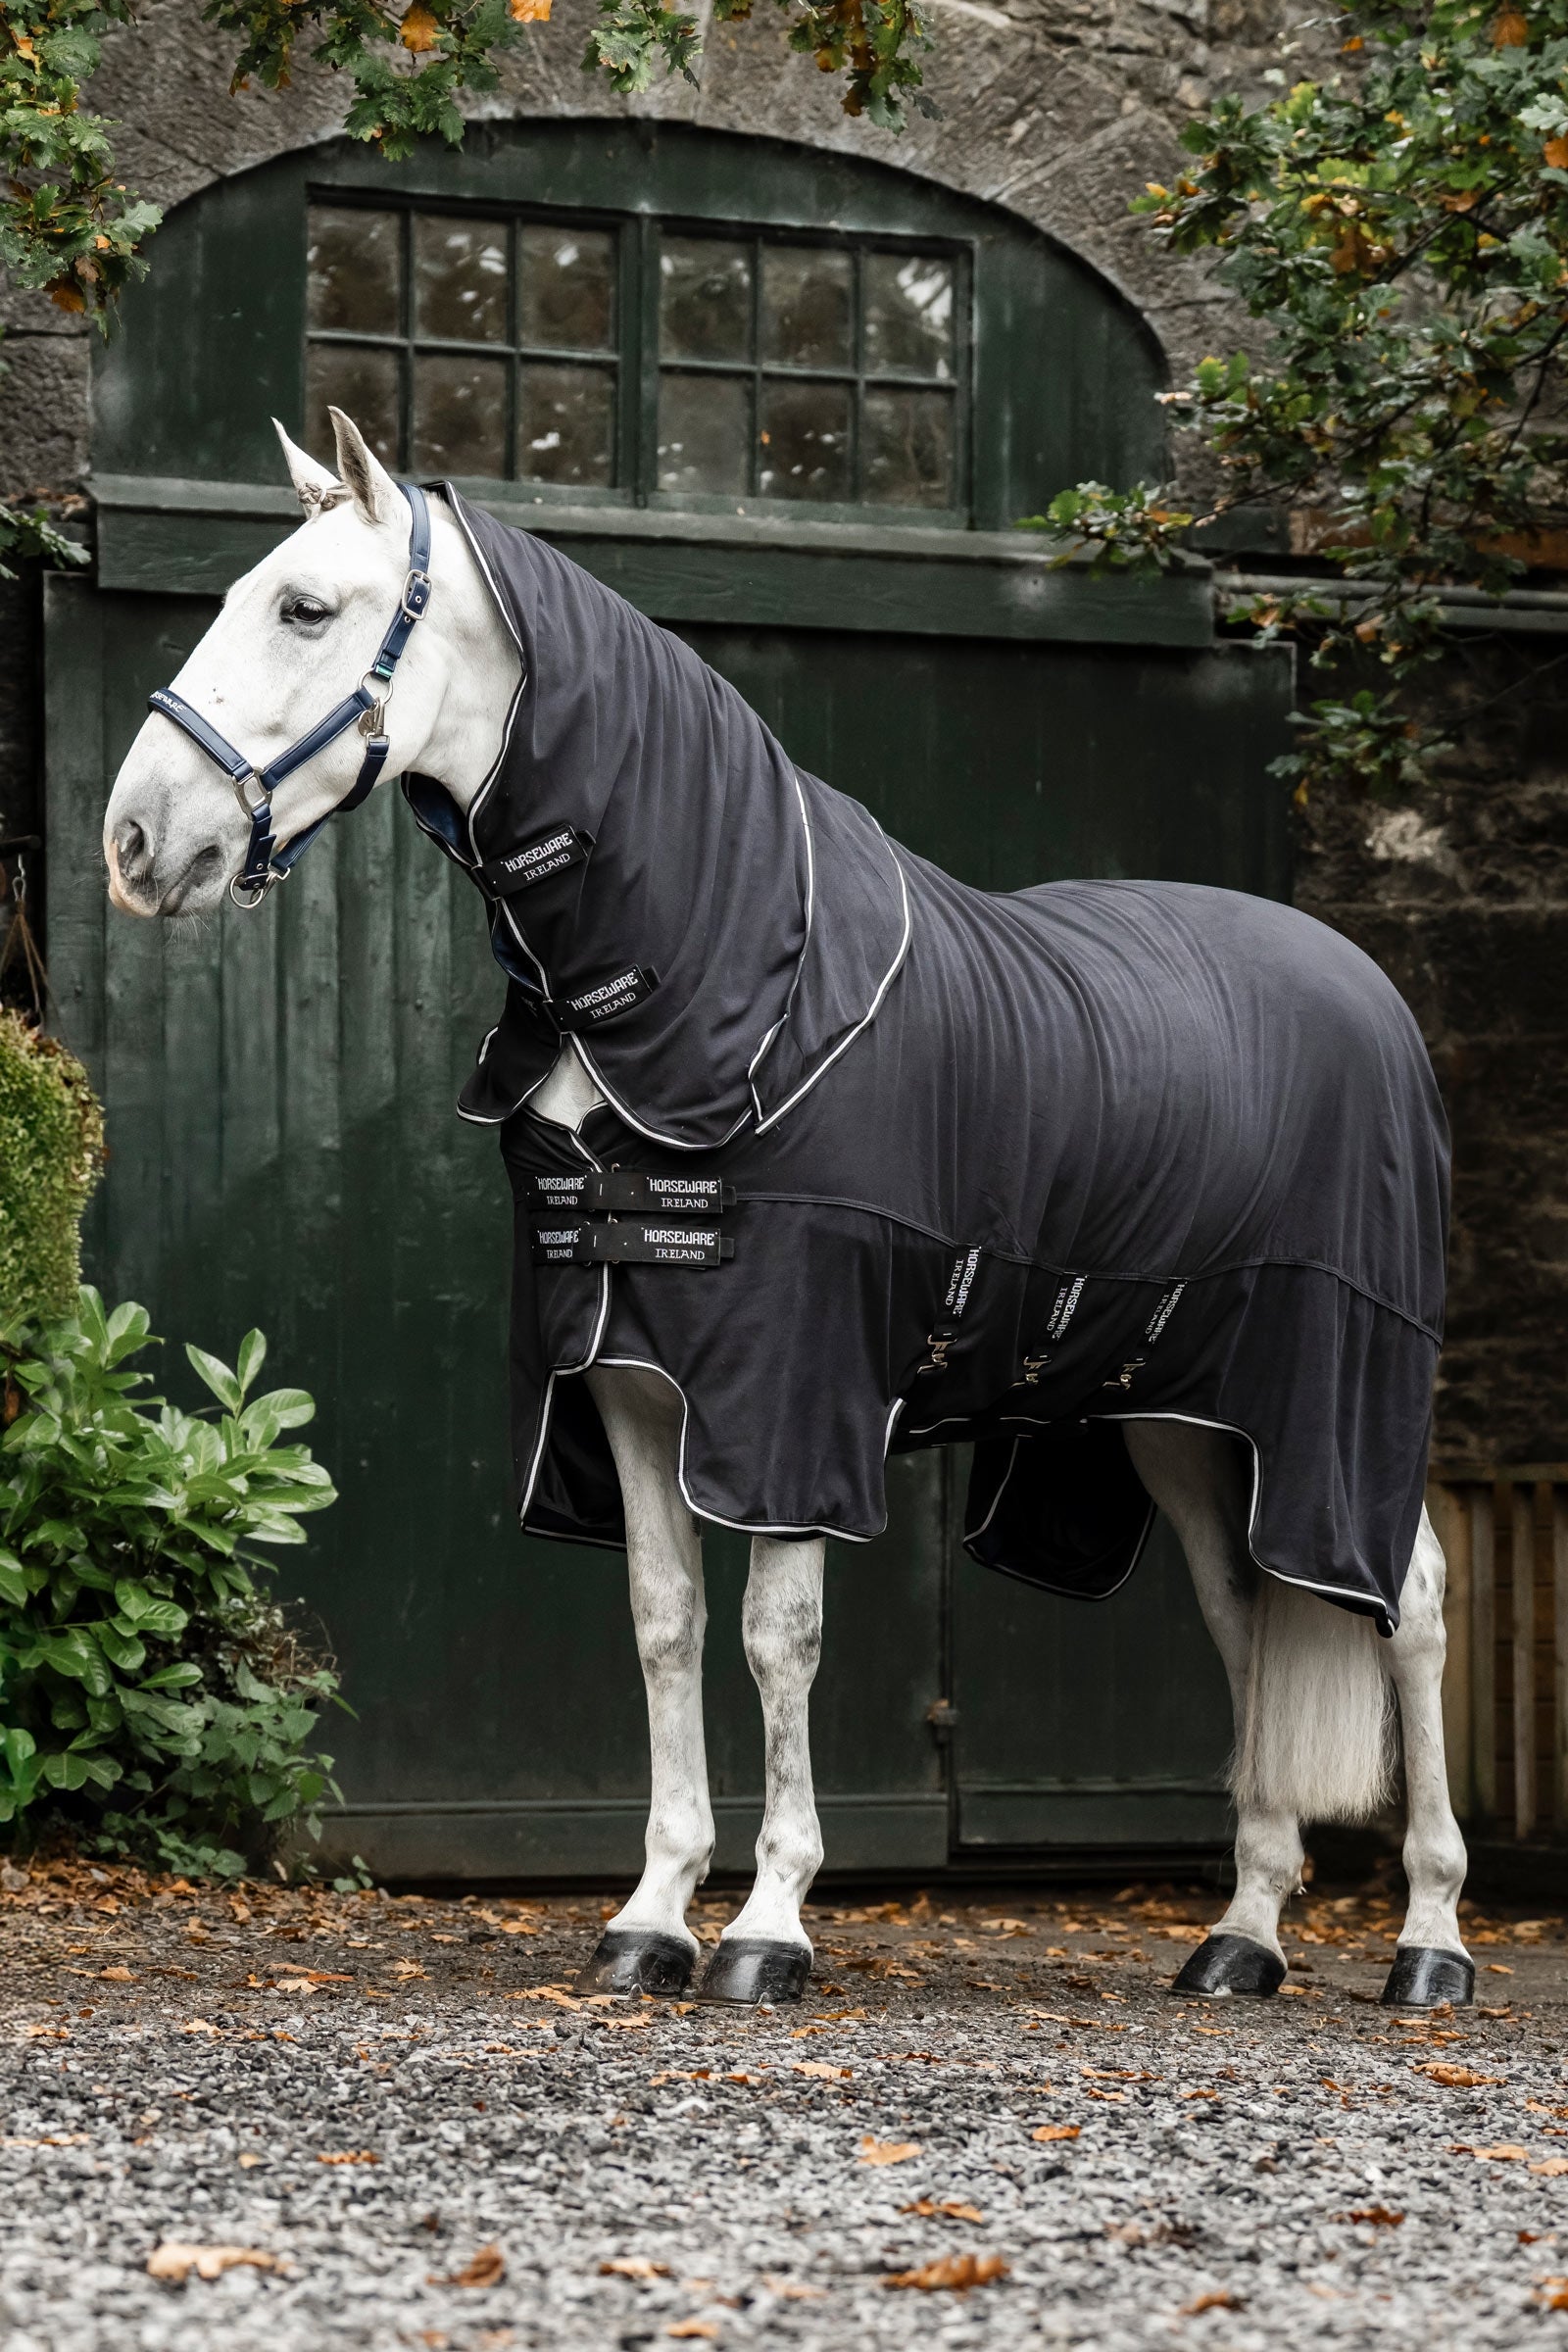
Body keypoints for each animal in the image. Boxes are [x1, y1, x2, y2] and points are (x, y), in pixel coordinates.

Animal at [101, 407, 1473, 2013]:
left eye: (306, 609)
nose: (136, 840)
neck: (721, 982)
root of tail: (1364, 988)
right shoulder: (625, 1381)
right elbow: (664, 1623)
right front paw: (651, 1915)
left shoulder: (789, 1398)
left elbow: (778, 1637)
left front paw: (770, 1923)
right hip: (1185, 1424)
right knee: (1249, 1618)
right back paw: (1242, 1935)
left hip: (1344, 1403)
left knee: (1412, 1600)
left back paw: (1430, 1939)